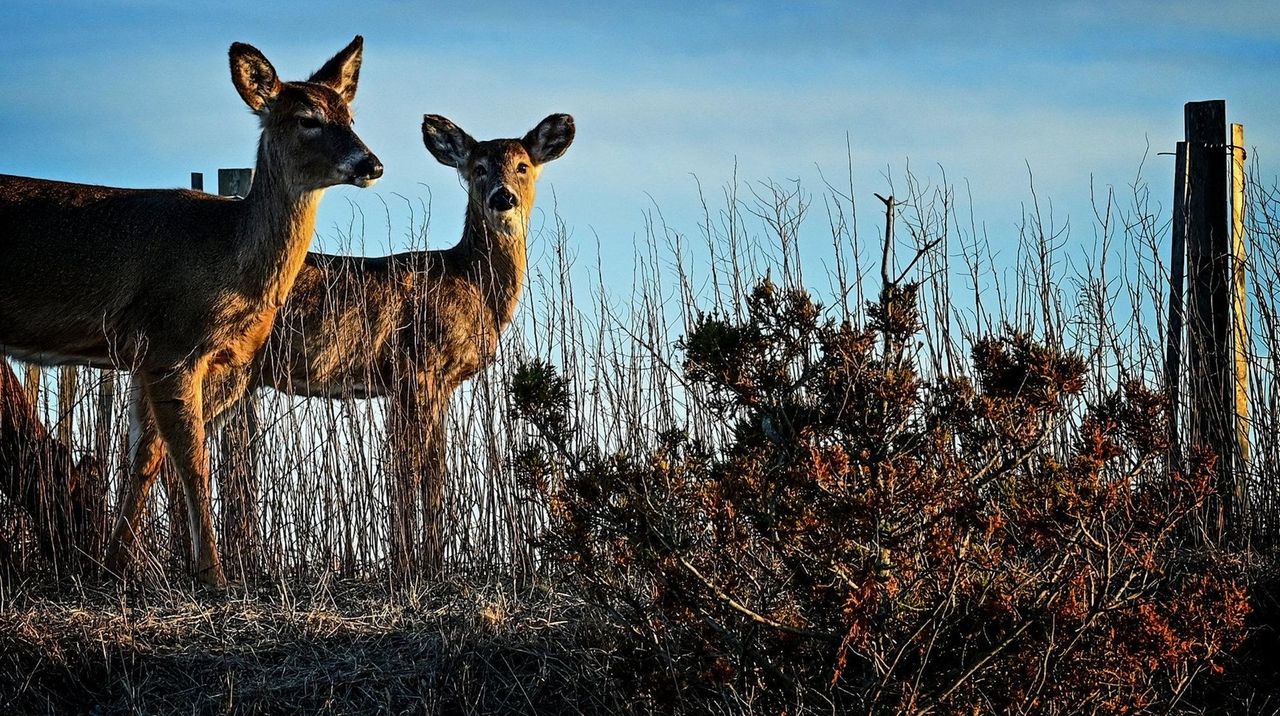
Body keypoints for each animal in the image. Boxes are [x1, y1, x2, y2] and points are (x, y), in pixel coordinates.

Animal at [0, 37, 383, 589]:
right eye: (307, 118)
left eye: (350, 115)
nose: (370, 164)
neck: (226, 254)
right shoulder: (172, 343)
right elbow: (192, 459)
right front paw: (213, 574)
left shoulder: (148, 358)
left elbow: (144, 459)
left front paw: (113, 566)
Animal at [117, 113, 575, 578]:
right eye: (478, 168)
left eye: (522, 165)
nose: (503, 198)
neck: (472, 285)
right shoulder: (417, 365)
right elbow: (413, 468)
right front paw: (417, 565)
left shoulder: (434, 383)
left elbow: (429, 467)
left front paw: (423, 560)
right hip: (205, 367)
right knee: (157, 448)